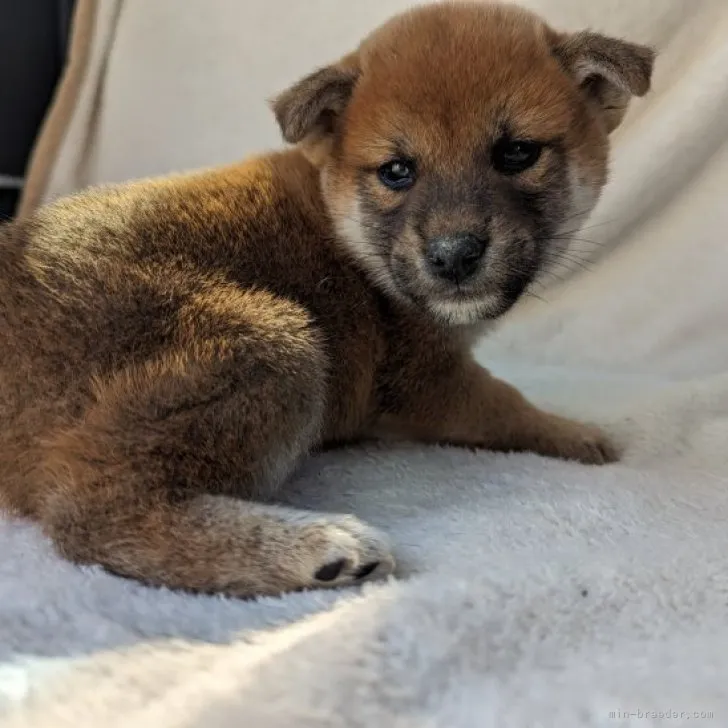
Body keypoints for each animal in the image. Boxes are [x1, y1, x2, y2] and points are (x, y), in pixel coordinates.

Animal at [0, 1, 656, 596]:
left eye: (517, 153)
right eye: (397, 170)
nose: (453, 256)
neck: (344, 234)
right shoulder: (428, 378)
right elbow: (507, 405)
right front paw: (574, 434)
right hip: (272, 342)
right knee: (92, 512)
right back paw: (313, 549)